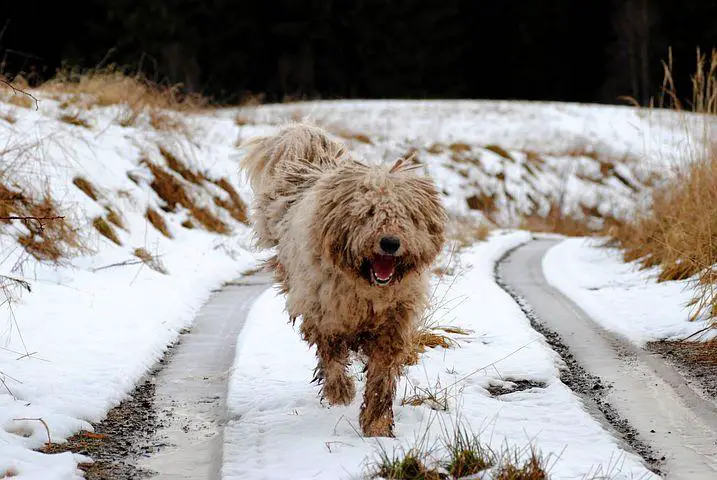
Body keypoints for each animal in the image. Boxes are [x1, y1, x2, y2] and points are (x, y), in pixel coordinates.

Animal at [241, 124, 444, 438]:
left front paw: (377, 424)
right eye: (368, 213)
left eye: (407, 215)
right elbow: (332, 356)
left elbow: (381, 376)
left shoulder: (393, 322)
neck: (367, 288)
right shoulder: (325, 314)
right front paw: (340, 392)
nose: (390, 243)